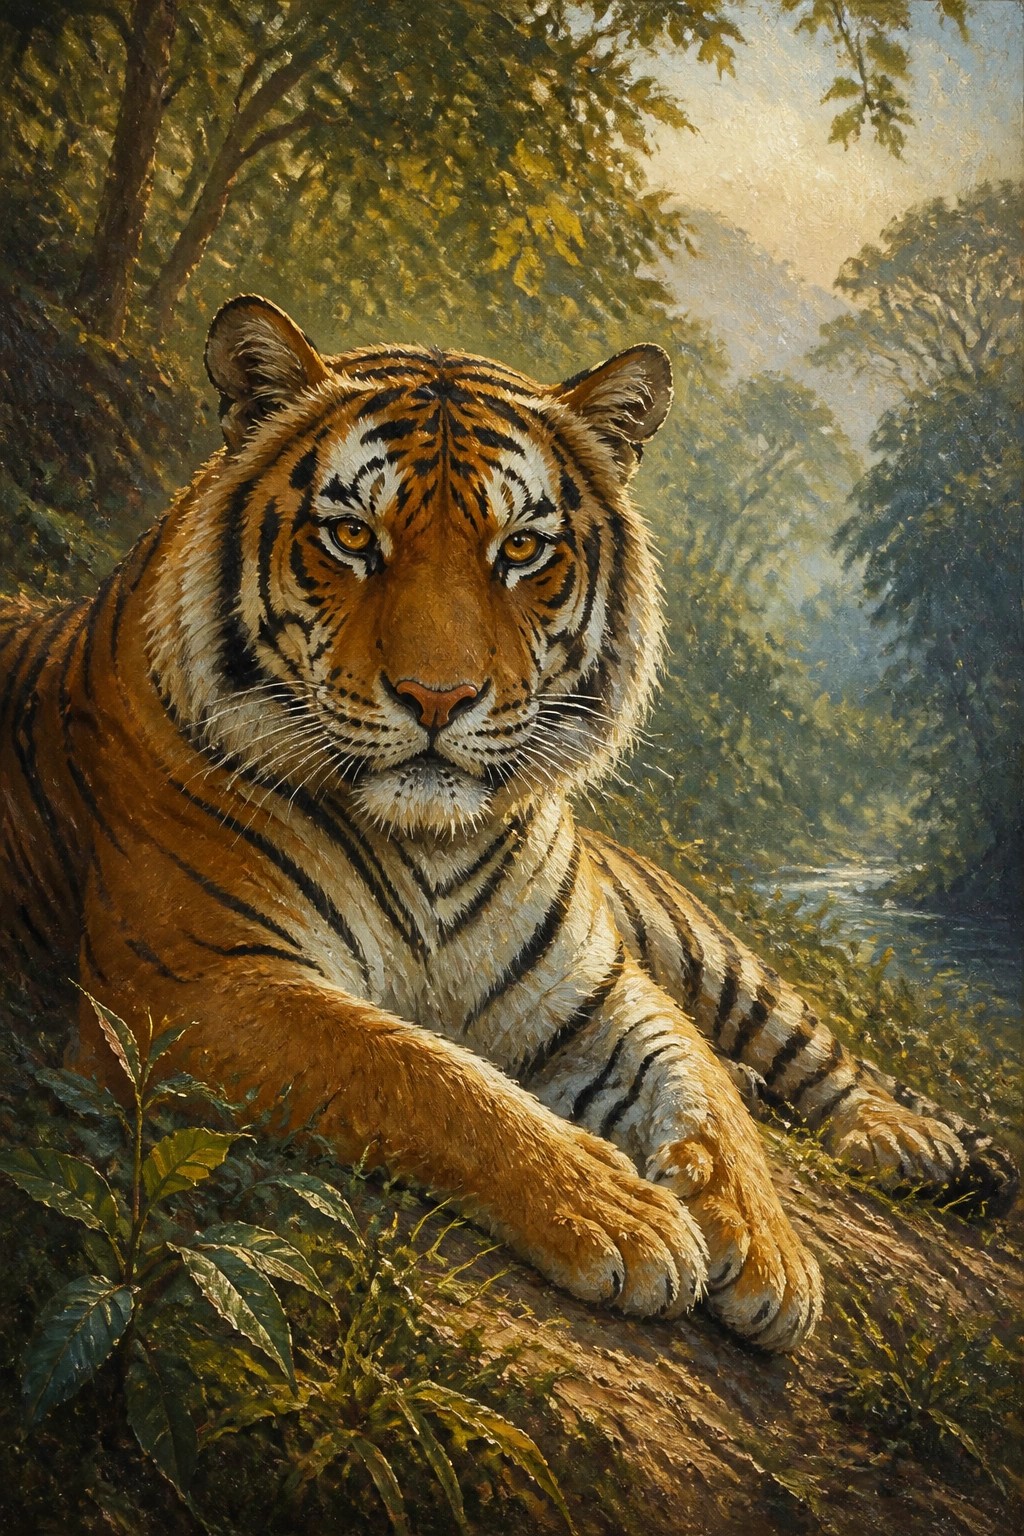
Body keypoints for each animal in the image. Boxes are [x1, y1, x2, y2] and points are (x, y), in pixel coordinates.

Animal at [0, 296, 1016, 1354]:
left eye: (521, 550)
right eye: (352, 536)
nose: (437, 697)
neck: (431, 846)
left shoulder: (602, 992)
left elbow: (703, 1092)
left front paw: (770, 1254)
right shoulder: (187, 988)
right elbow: (420, 1071)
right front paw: (622, 1216)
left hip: (704, 946)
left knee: (806, 1043)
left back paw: (902, 1135)